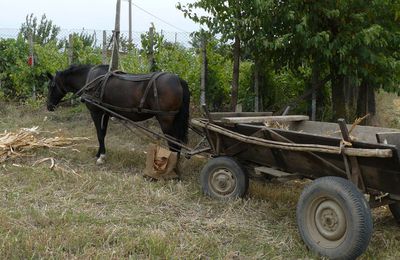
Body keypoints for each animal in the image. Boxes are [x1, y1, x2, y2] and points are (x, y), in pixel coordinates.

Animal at [46, 64, 190, 164]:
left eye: (51, 86)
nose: (48, 106)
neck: (91, 79)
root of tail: (178, 79)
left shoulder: (96, 112)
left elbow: (99, 134)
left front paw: (101, 157)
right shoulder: (105, 113)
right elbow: (103, 134)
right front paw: (100, 153)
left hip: (166, 120)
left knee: (174, 143)